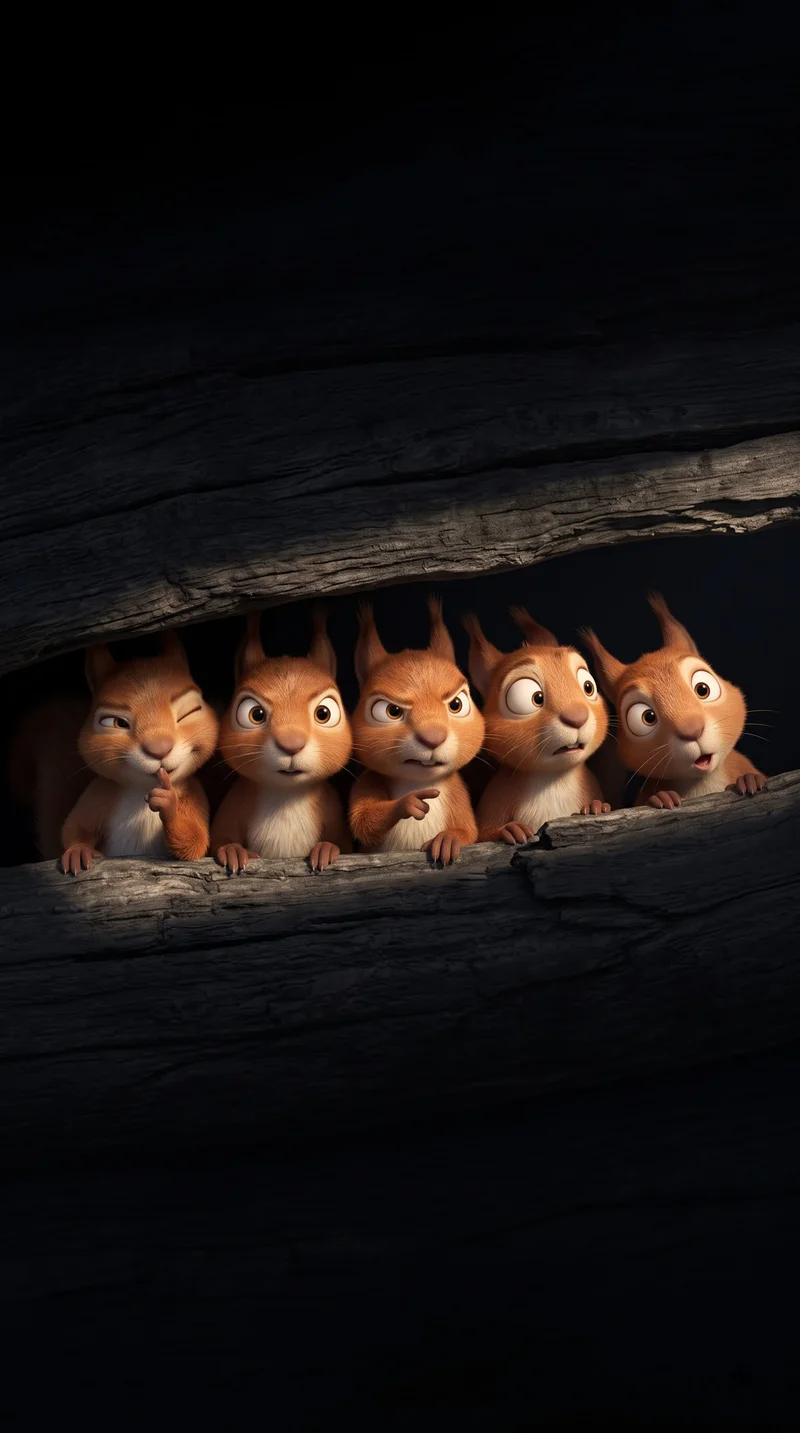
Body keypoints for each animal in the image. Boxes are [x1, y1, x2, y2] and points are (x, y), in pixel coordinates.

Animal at [58, 631, 219, 874]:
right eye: (115, 723)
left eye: (190, 711)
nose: (159, 749)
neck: (141, 789)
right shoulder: (99, 793)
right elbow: (75, 826)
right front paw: (78, 851)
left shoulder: (194, 794)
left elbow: (195, 841)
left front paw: (168, 803)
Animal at [210, 606, 352, 875]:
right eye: (255, 714)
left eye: (324, 713)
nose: (291, 744)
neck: (285, 794)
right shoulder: (235, 804)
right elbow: (219, 840)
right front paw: (233, 851)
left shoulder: (332, 810)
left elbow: (344, 844)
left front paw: (326, 849)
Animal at [348, 596, 484, 865]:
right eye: (390, 711)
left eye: (457, 704)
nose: (433, 738)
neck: (416, 780)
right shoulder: (369, 780)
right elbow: (363, 819)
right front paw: (407, 803)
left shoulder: (458, 793)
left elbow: (468, 832)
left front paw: (448, 839)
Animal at [464, 605, 611, 845]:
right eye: (533, 697)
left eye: (588, 686)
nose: (577, 717)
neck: (552, 779)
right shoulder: (497, 796)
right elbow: (483, 834)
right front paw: (509, 830)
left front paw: (596, 806)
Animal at [581, 591, 766, 809]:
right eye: (647, 717)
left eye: (703, 689)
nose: (692, 730)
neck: (699, 780)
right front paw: (662, 797)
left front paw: (748, 779)